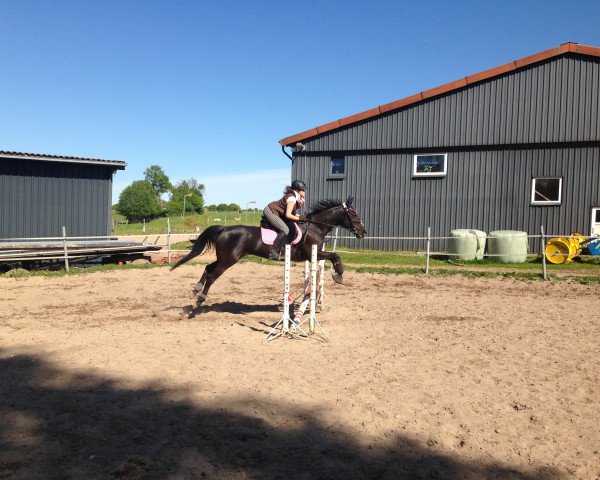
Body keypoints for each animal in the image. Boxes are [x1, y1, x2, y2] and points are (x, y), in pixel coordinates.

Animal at [169, 196, 366, 306]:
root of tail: (224, 228)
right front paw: (339, 275)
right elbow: (335, 256)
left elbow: (332, 257)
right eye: (353, 215)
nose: (363, 232)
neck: (316, 227)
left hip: (226, 258)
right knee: (211, 275)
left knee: (208, 268)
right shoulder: (312, 254)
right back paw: (200, 298)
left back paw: (195, 289)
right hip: (228, 260)